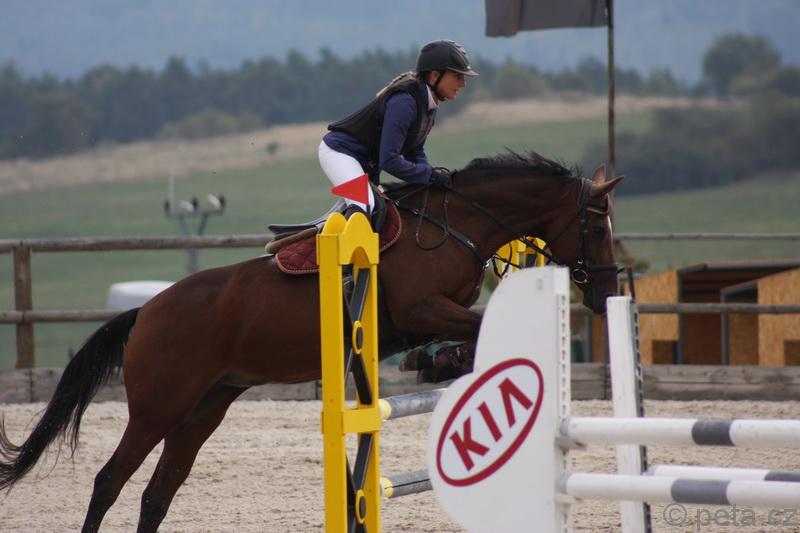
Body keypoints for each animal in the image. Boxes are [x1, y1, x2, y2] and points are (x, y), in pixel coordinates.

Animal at [0, 150, 622, 532]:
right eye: (596, 227)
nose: (606, 293)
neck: (457, 224)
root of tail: (147, 311)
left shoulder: (427, 315)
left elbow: (469, 328)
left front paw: (441, 360)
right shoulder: (420, 307)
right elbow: (473, 325)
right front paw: (443, 360)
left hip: (204, 409)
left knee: (158, 491)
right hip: (160, 407)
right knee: (109, 481)